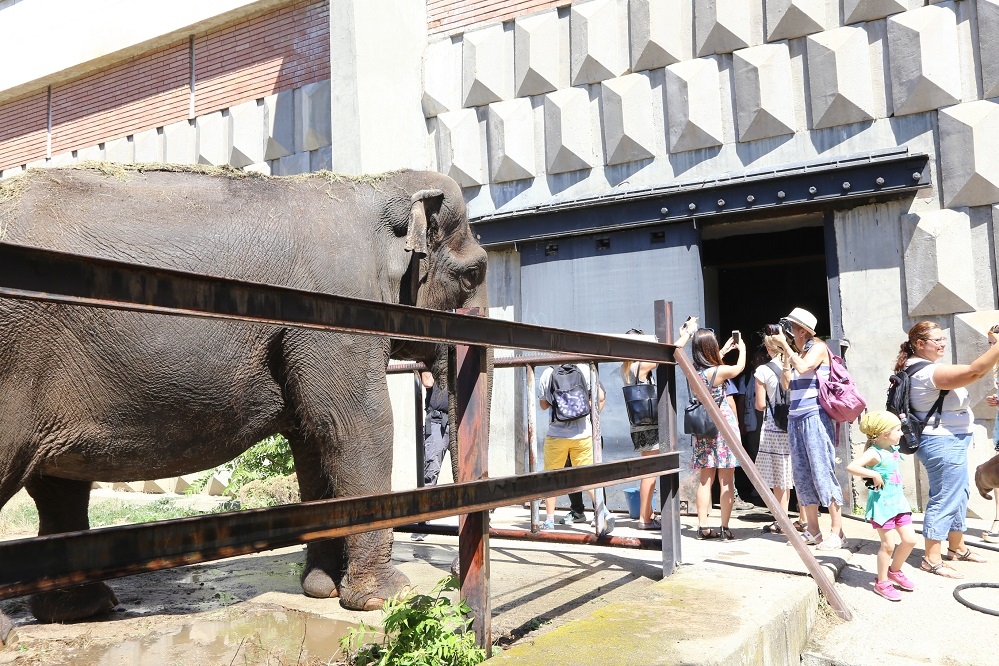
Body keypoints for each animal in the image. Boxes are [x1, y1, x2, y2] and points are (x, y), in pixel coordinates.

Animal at [0, 163, 488, 624]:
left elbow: (311, 439)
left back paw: (81, 609)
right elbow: (358, 425)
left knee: (58, 487)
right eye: (474, 274)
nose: (453, 573)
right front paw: (388, 599)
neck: (373, 185)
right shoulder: (336, 311)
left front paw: (322, 589)